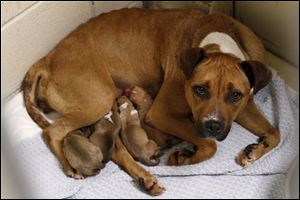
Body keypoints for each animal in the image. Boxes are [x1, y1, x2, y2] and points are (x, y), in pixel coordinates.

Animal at [22, 8, 280, 195]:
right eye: (199, 90)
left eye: (235, 95)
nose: (213, 126)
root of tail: (47, 58)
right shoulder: (163, 114)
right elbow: (210, 145)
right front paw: (186, 157)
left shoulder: (245, 106)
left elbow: (275, 133)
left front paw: (254, 151)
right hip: (97, 101)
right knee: (53, 132)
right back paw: (71, 167)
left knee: (116, 150)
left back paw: (144, 178)